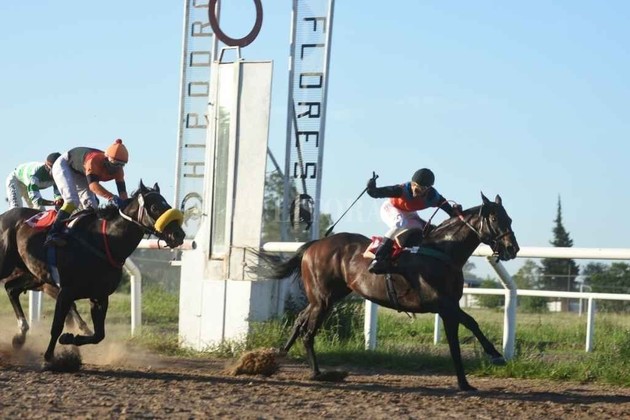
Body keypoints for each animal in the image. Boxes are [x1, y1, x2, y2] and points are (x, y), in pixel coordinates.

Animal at [0, 181, 185, 364]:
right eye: (154, 207)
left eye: (167, 205)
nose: (179, 235)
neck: (103, 241)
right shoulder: (66, 292)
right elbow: (57, 326)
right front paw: (49, 357)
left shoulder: (99, 296)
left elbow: (98, 335)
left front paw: (69, 339)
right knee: (11, 288)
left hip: (34, 275)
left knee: (11, 289)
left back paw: (20, 337)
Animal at [259, 193, 519, 391]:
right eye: (495, 217)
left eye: (509, 218)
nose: (512, 248)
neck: (443, 251)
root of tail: (314, 244)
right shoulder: (443, 305)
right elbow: (464, 333)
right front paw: (483, 365)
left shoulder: (450, 306)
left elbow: (466, 332)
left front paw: (481, 368)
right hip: (323, 299)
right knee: (308, 332)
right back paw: (317, 373)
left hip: (327, 297)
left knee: (300, 320)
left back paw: (278, 356)